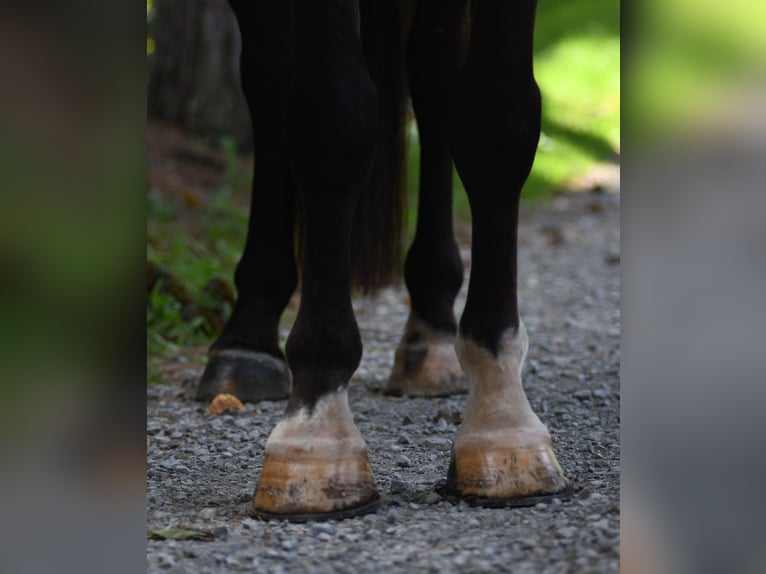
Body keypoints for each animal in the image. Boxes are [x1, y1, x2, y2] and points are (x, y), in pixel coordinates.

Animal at [195, 0, 572, 520]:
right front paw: (316, 430)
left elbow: (499, 119)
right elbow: (333, 116)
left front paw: (504, 429)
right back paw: (246, 339)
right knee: (269, 76)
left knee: (435, 75)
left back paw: (432, 322)